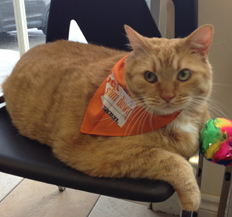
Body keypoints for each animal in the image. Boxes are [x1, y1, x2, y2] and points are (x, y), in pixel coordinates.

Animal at [1, 24, 214, 211]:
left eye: (184, 74)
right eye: (150, 77)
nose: (168, 96)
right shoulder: (102, 155)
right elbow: (172, 160)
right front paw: (192, 196)